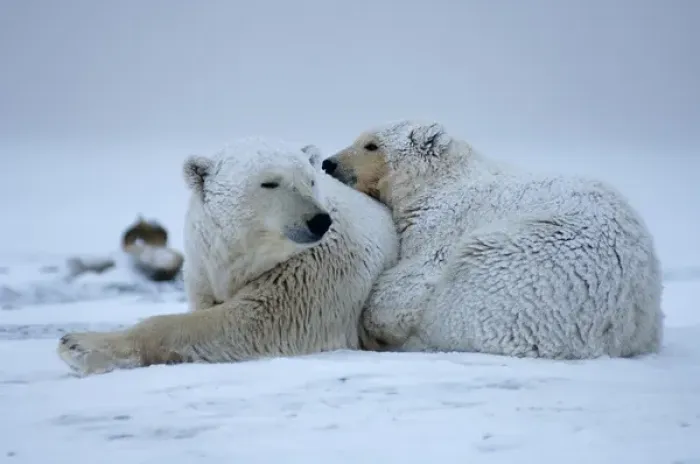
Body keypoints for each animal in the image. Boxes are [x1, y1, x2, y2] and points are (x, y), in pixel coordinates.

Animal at [57, 137, 398, 375]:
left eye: (310, 180)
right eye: (270, 182)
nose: (318, 220)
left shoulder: (317, 273)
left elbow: (252, 322)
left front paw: (77, 344)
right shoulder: (204, 269)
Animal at [322, 120, 664, 359]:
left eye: (371, 145)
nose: (328, 163)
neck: (440, 179)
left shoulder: (446, 219)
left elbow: (417, 275)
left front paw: (379, 320)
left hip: (531, 266)